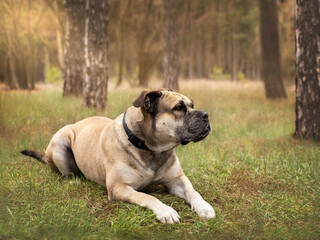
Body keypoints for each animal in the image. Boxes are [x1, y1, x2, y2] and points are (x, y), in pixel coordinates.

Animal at [21, 88, 215, 223]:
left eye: (192, 105)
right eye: (179, 107)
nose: (206, 115)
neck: (152, 150)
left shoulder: (176, 179)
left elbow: (192, 191)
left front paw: (204, 206)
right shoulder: (119, 188)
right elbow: (147, 196)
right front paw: (165, 210)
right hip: (59, 142)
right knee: (65, 173)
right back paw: (73, 179)